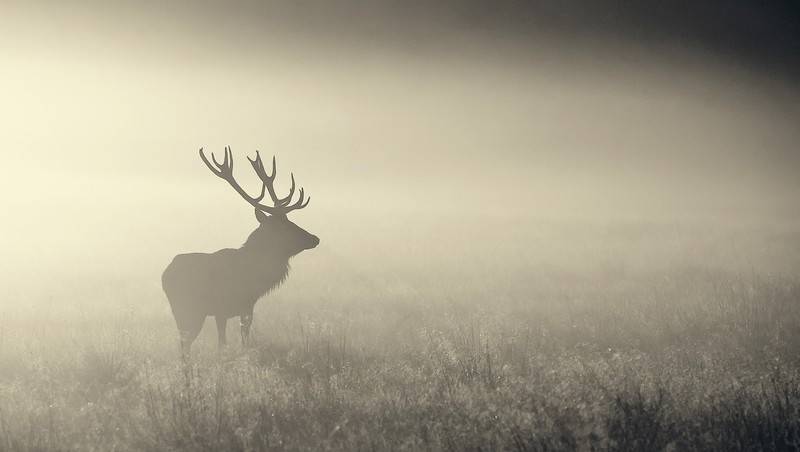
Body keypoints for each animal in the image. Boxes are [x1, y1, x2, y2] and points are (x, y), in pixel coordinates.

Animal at [162, 147, 319, 355]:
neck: (253, 277)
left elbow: (245, 341)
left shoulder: (247, 308)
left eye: (291, 221)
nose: (315, 238)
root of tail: (164, 275)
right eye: (285, 227)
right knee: (185, 345)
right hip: (188, 309)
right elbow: (222, 344)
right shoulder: (221, 308)